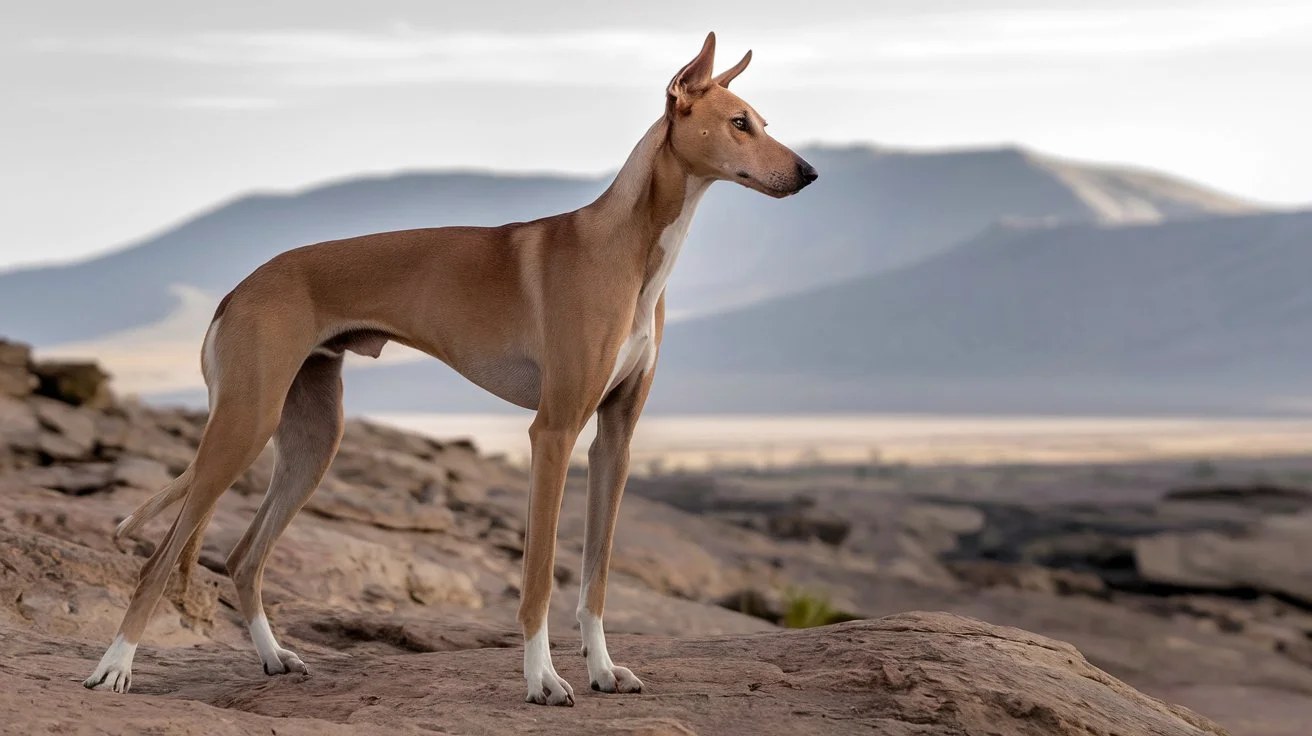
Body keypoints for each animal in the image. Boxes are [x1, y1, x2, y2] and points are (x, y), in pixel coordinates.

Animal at [87, 31, 813, 703]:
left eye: (763, 120)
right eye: (740, 123)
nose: (808, 173)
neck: (630, 250)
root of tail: (237, 289)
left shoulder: (615, 439)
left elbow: (596, 574)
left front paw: (604, 670)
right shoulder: (552, 433)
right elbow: (540, 577)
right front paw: (543, 680)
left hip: (311, 439)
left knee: (242, 557)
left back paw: (272, 657)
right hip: (243, 425)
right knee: (159, 561)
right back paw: (115, 667)